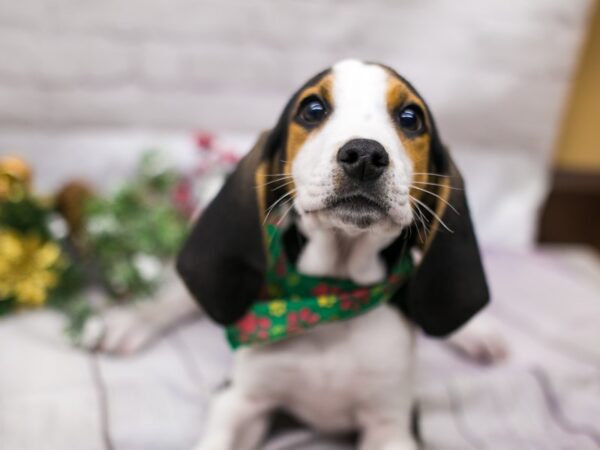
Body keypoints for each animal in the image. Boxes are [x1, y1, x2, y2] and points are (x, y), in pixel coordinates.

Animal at [86, 60, 504, 450]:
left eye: (410, 118)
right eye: (313, 110)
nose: (365, 154)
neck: (331, 292)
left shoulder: (392, 422)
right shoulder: (239, 400)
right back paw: (131, 321)